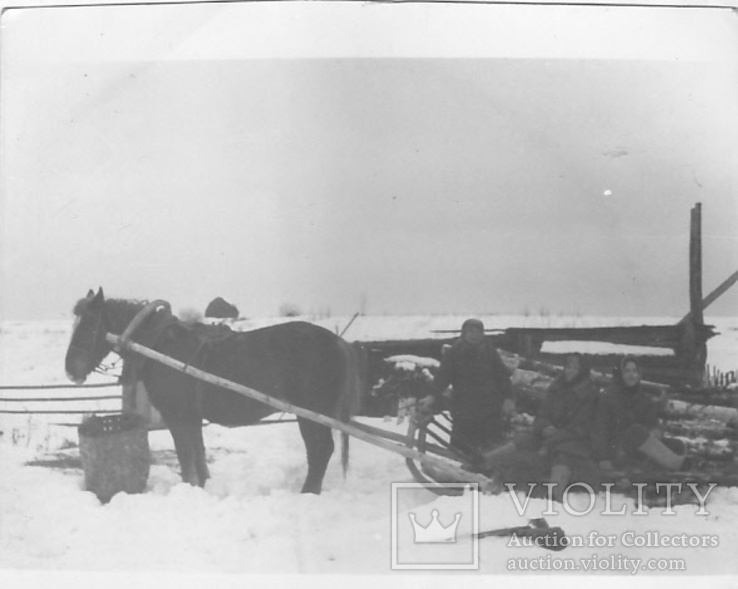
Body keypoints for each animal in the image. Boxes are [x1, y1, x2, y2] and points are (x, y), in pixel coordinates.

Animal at [66, 288, 360, 494]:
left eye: (89, 324)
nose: (70, 369)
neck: (159, 345)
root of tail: (338, 342)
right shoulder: (192, 417)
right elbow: (199, 454)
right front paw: (203, 487)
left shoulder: (177, 418)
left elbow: (186, 458)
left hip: (311, 413)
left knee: (320, 450)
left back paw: (308, 492)